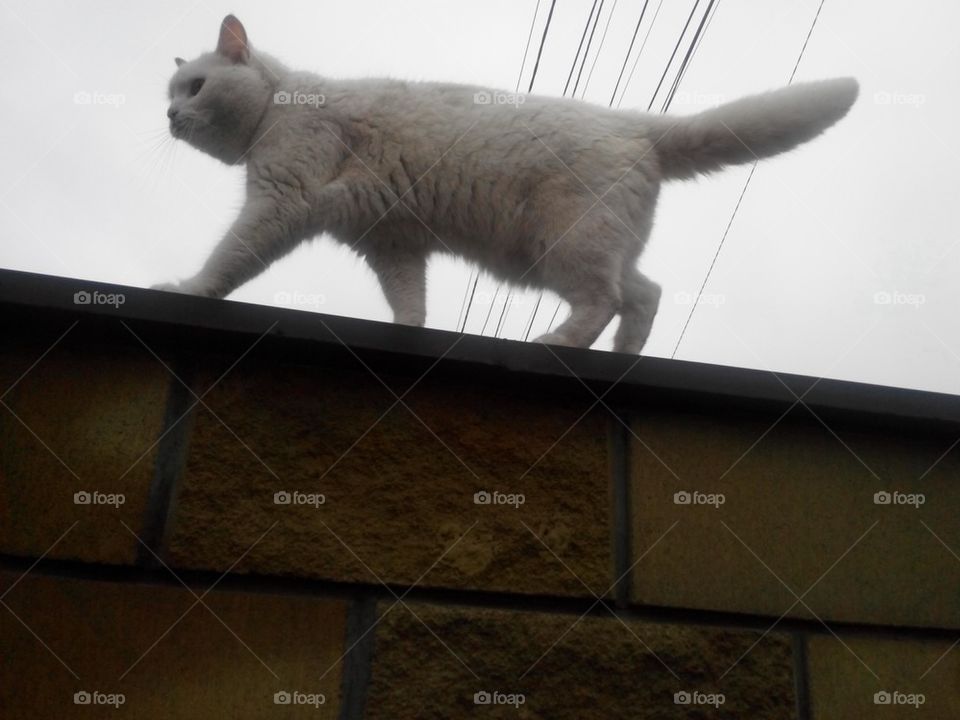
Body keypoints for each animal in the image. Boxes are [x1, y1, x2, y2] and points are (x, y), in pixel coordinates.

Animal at [154, 15, 860, 352]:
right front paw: (410, 330)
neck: (279, 106)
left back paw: (562, 343)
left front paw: (187, 288)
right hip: (583, 246)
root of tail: (631, 124)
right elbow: (410, 303)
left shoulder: (282, 199)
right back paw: (622, 357)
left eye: (196, 87)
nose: (169, 117)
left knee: (605, 298)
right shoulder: (391, 241)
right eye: (170, 94)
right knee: (645, 293)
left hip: (564, 246)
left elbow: (230, 257)